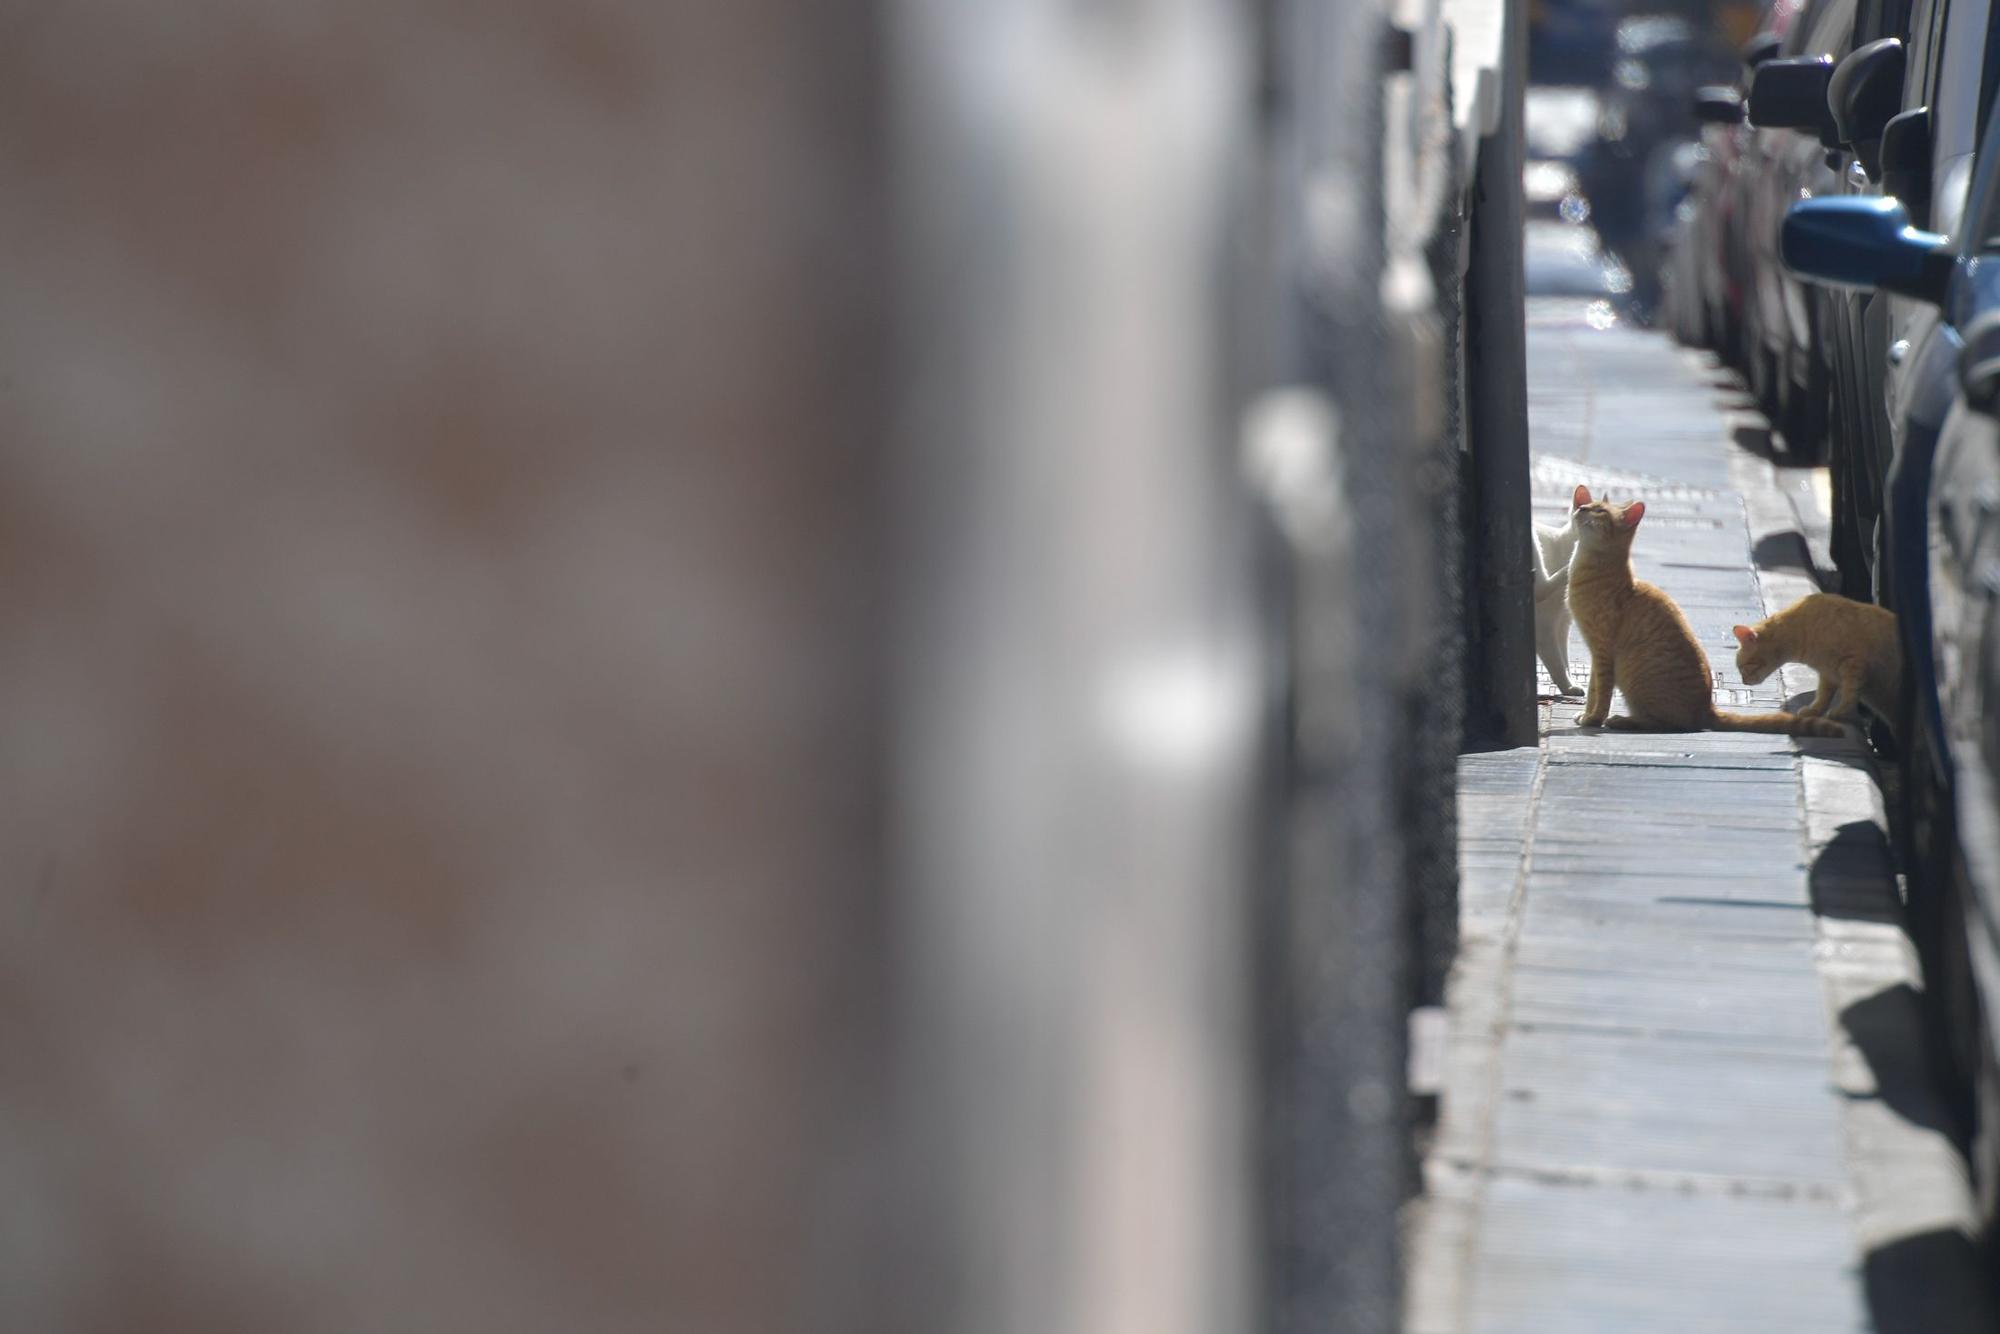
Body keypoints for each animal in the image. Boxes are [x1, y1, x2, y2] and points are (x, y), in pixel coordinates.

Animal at [1568, 496, 1832, 736]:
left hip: (1636, 682)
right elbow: (1592, 689)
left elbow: (1602, 693)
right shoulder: (1595, 653)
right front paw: (1587, 714)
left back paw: (1622, 720)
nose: (1581, 508)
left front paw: (1594, 719)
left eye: (1600, 511)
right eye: (1588, 504)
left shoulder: (1602, 651)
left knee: (1665, 723)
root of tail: (1706, 708)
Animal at [1728, 588, 1896, 724]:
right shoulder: (1828, 673)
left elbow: (1849, 692)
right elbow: (1823, 694)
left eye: (1743, 667)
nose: (1744, 682)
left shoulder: (1853, 663)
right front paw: (1815, 710)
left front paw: (1841, 713)